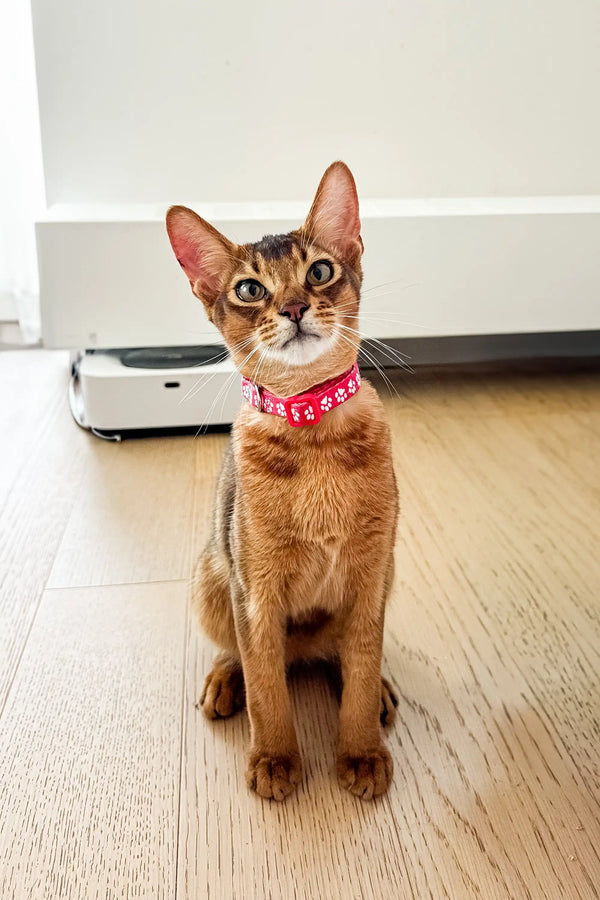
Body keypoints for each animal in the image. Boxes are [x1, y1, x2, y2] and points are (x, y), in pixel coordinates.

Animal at [165, 162, 398, 800]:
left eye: (319, 271)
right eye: (249, 290)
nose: (294, 308)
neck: (312, 435)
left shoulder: (370, 575)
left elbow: (362, 663)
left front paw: (362, 752)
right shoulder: (257, 590)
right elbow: (267, 684)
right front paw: (274, 759)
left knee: (344, 655)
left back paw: (379, 691)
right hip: (213, 577)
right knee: (242, 654)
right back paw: (226, 682)